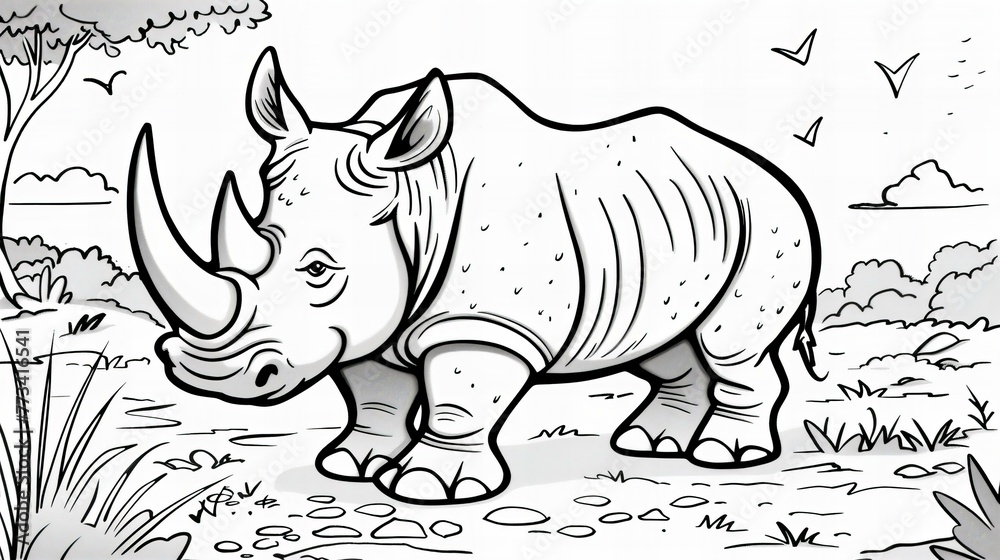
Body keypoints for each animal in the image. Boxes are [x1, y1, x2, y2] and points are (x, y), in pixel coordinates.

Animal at [128, 47, 822, 505]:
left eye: (319, 269)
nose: (206, 378)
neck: (414, 198)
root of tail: (772, 173)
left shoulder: (486, 324)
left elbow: (460, 397)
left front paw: (427, 486)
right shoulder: (369, 320)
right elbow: (374, 392)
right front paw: (352, 465)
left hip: (769, 219)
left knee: (729, 344)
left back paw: (724, 457)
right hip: (666, 231)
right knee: (665, 344)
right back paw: (648, 446)